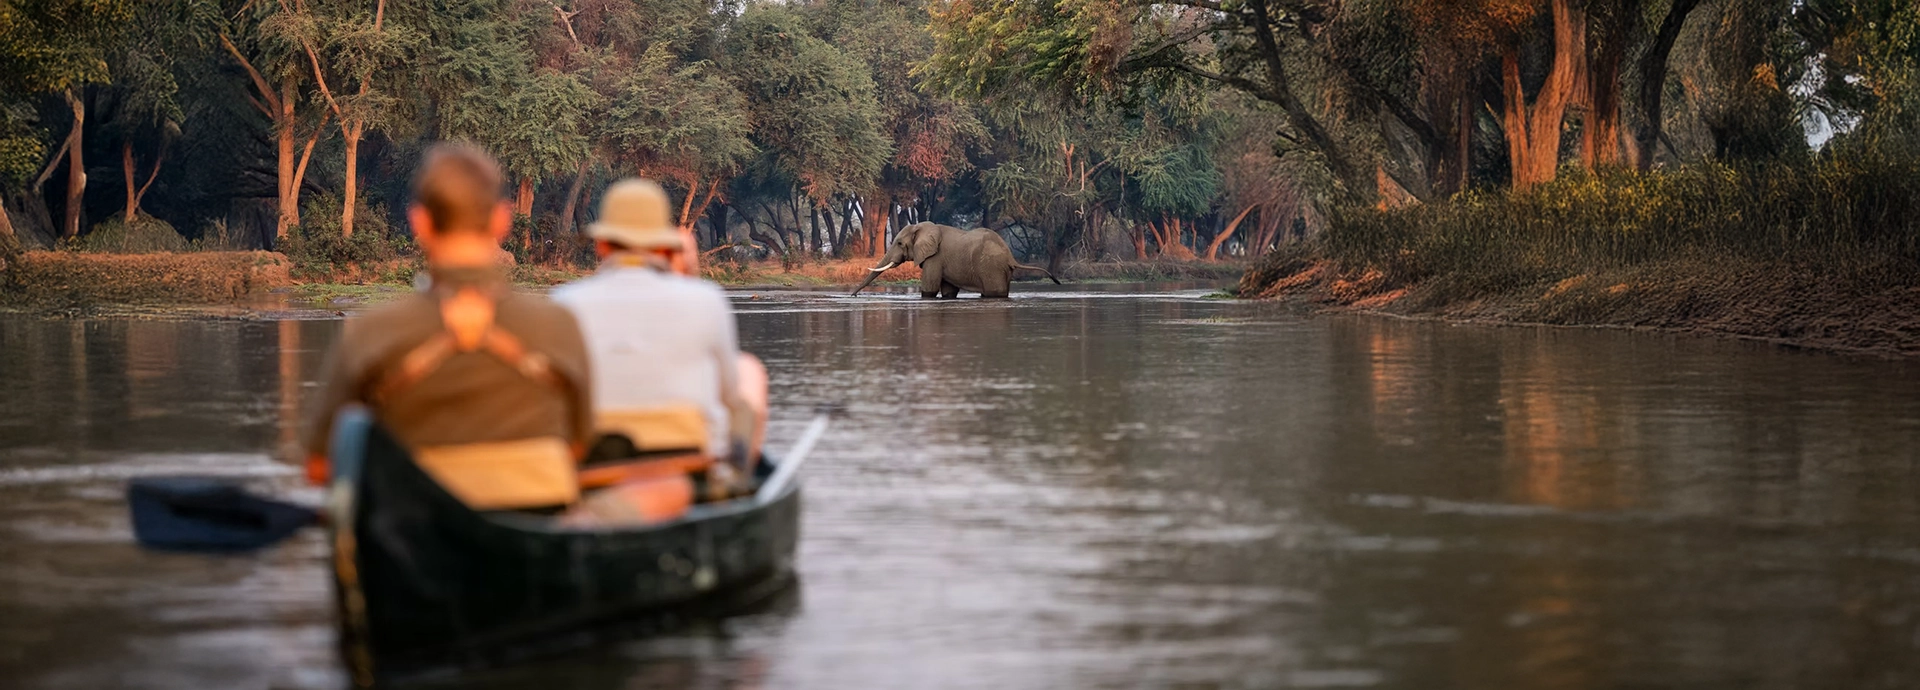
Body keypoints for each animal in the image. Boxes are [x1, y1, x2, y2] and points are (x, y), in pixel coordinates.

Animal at [850, 222, 1061, 298]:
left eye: (900, 243)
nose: (853, 296)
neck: (923, 226)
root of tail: (1011, 256)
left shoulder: (935, 257)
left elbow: (929, 289)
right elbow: (948, 291)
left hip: (991, 268)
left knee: (993, 293)